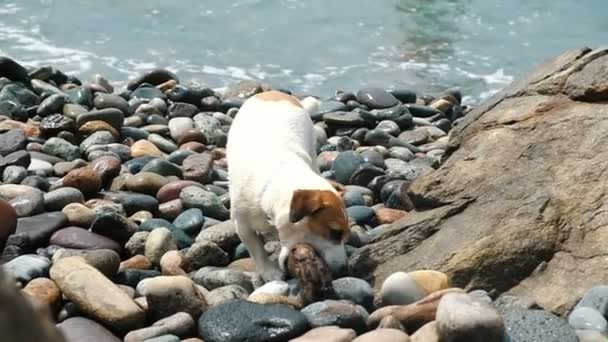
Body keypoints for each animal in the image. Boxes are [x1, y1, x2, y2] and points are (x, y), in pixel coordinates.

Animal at [226, 89, 350, 282]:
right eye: (335, 232)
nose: (345, 270)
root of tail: (275, 92)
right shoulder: (242, 226)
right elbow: (257, 250)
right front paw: (269, 272)